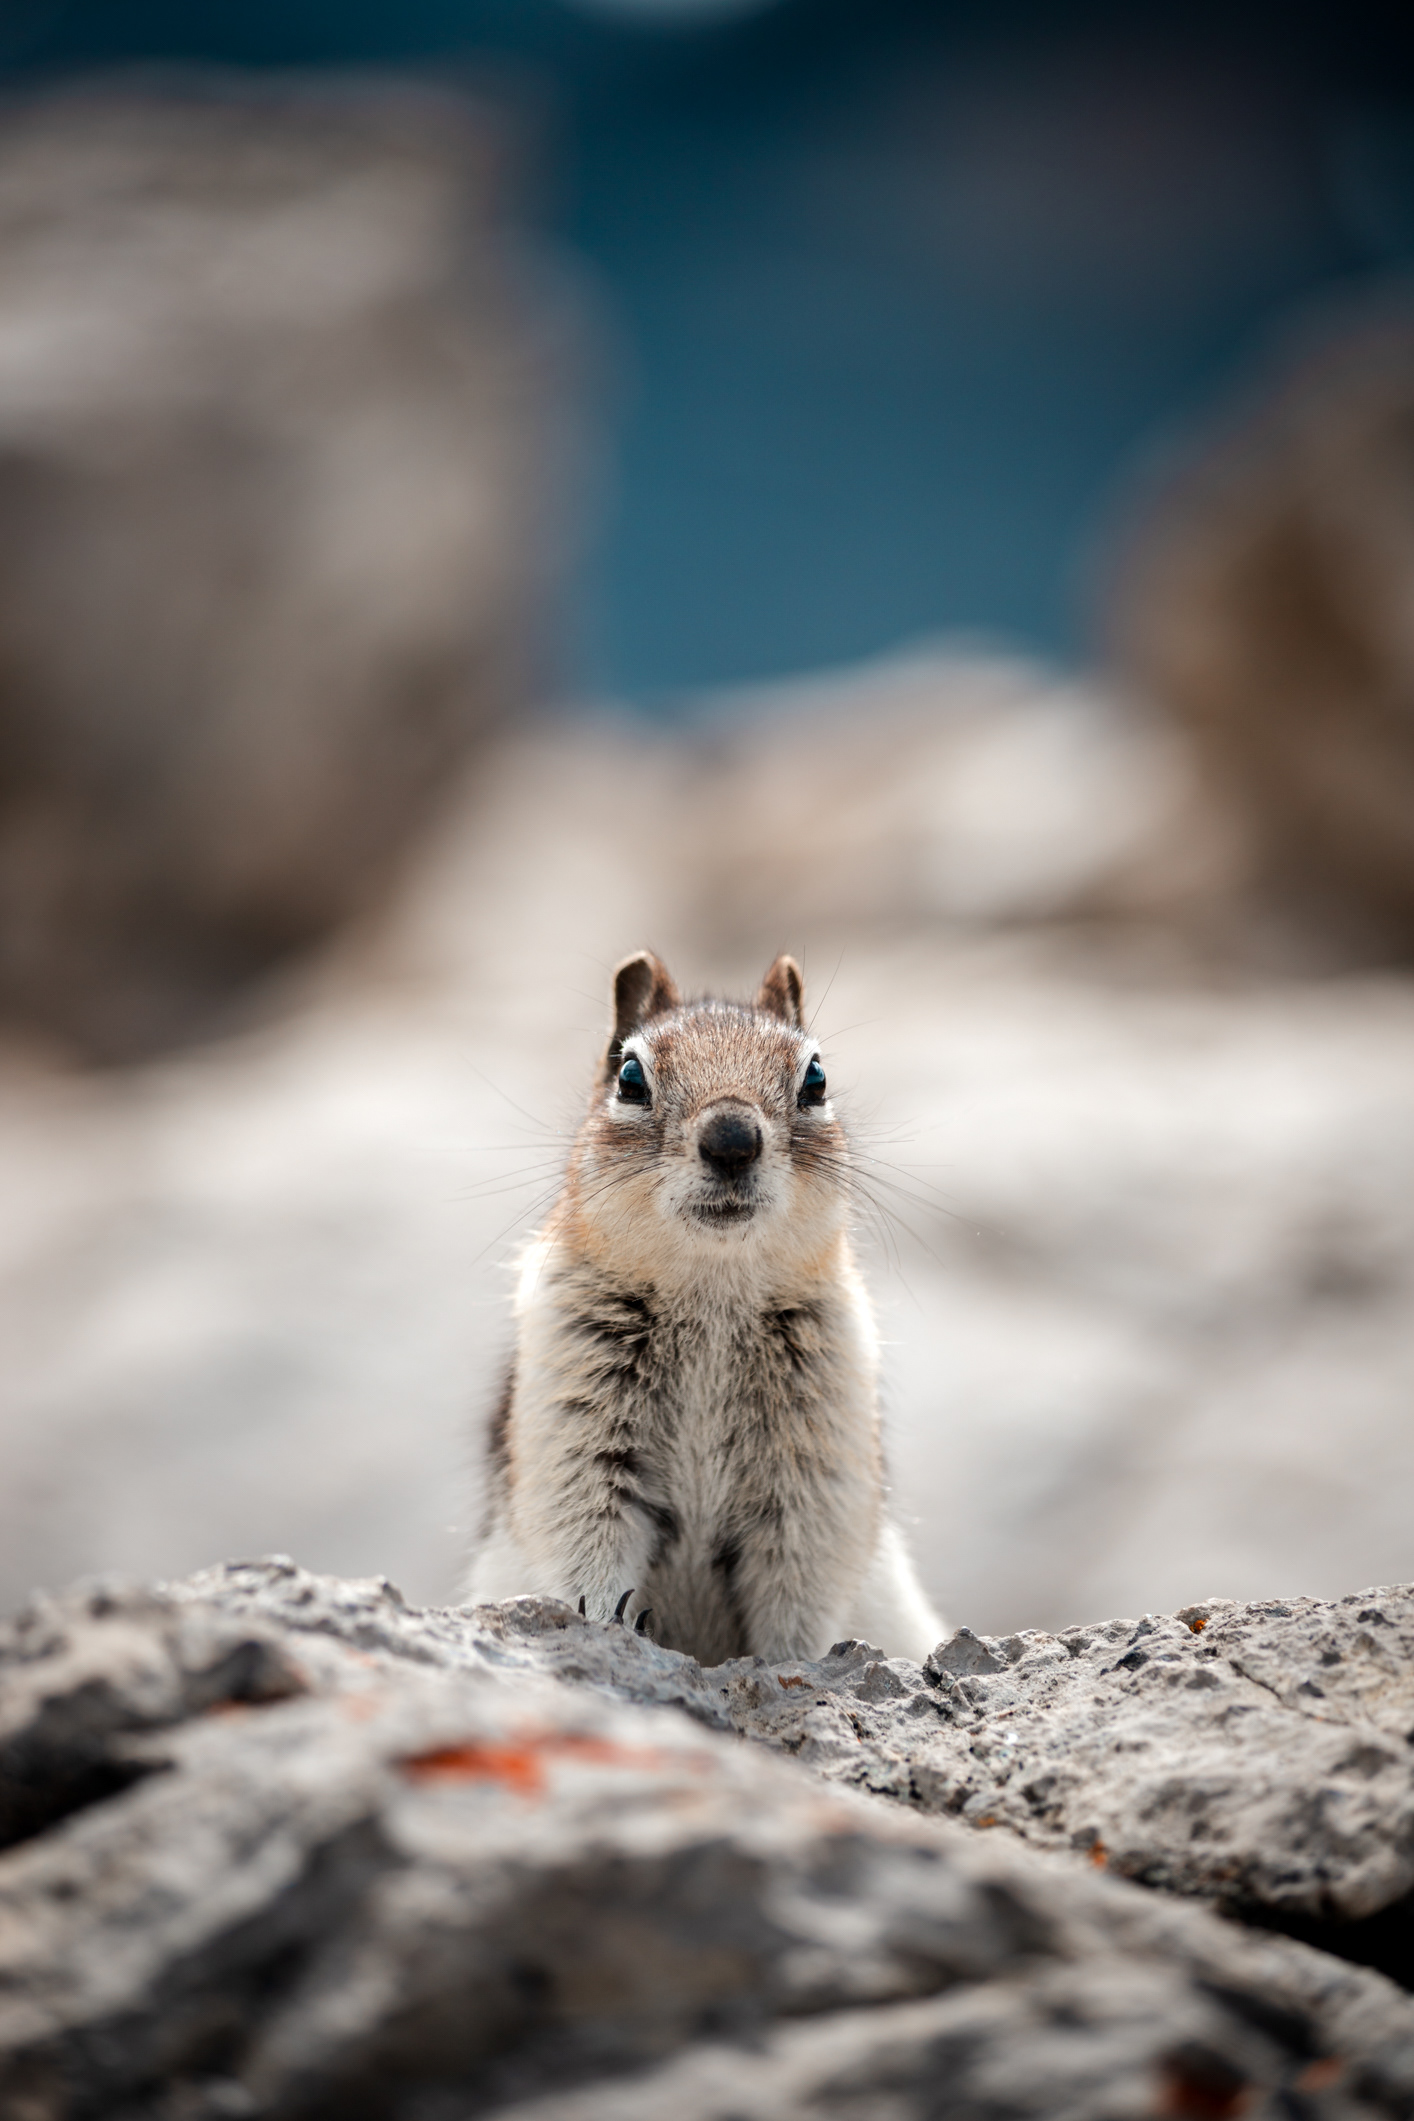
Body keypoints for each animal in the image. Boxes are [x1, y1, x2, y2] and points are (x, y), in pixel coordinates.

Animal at [464, 950, 943, 1666]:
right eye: (630, 1076)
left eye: (816, 1077)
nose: (732, 1138)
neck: (712, 1291)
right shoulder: (573, 1413)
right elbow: (584, 1534)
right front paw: (604, 1622)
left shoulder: (818, 1455)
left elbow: (802, 1579)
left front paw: (789, 1664)